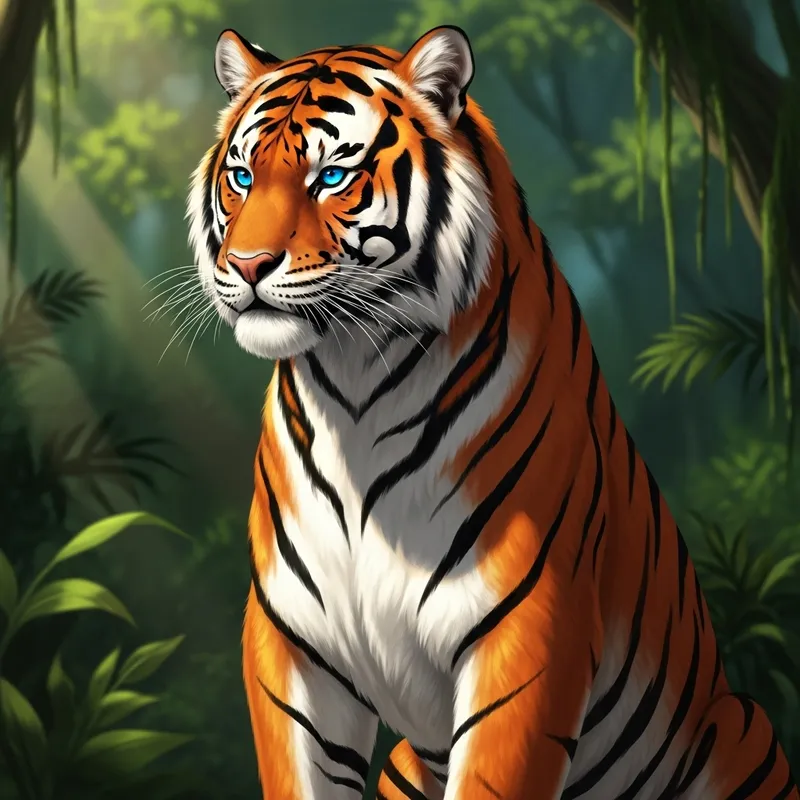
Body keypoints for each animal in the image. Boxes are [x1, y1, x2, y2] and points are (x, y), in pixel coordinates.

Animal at [186, 23, 799, 800]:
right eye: (241, 177)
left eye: (330, 177)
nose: (246, 264)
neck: (351, 386)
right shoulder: (289, 646)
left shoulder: (528, 630)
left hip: (742, 732)